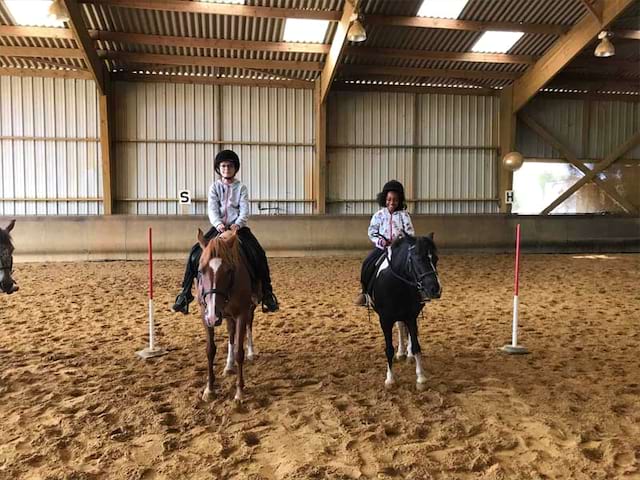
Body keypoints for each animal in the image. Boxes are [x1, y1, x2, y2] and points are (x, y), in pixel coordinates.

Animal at [199, 229, 262, 402]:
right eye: (200, 270)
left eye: (229, 270)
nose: (213, 316)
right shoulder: (205, 315)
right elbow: (210, 350)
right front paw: (209, 389)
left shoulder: (241, 313)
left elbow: (239, 352)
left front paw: (239, 392)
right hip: (226, 315)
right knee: (231, 332)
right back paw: (228, 365)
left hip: (250, 308)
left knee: (249, 326)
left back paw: (251, 353)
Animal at [364, 234, 440, 388]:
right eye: (418, 259)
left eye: (435, 259)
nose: (435, 289)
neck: (396, 283)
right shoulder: (385, 320)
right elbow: (388, 349)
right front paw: (389, 379)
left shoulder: (411, 316)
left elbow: (416, 346)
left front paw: (420, 377)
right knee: (400, 327)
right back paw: (400, 353)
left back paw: (408, 354)